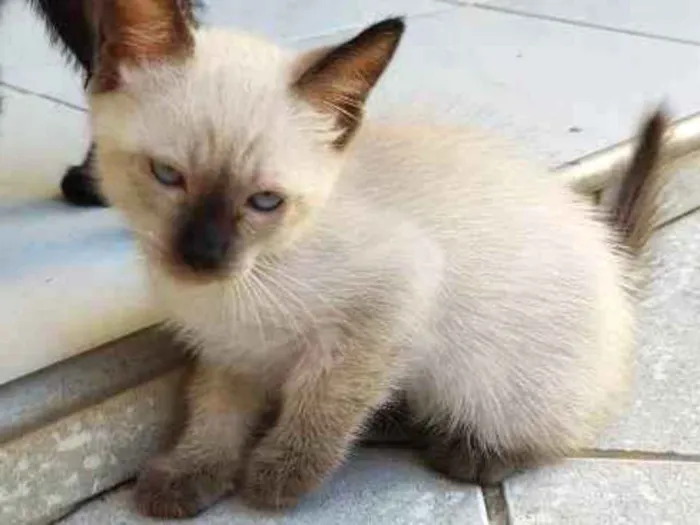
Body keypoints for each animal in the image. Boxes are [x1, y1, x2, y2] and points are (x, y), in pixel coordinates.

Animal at [86, 0, 668, 516]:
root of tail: (614, 256)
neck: (238, 287)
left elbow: (323, 406)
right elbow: (215, 412)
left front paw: (276, 478)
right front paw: (191, 473)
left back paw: (470, 451)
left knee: (555, 430)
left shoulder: (386, 305)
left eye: (265, 202)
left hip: (497, 378)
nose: (202, 256)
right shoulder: (231, 350)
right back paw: (393, 418)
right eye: (167, 175)